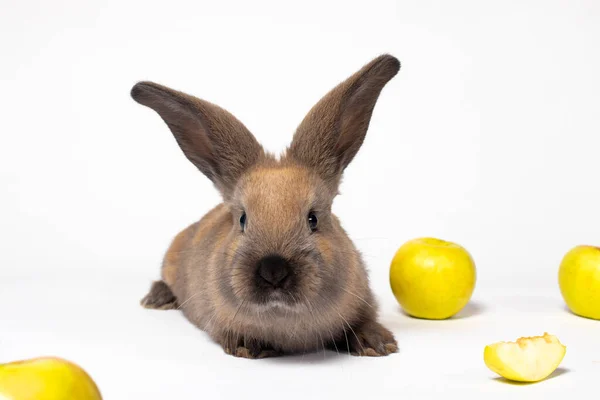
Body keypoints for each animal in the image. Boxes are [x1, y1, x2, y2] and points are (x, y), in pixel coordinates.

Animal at [134, 54, 400, 360]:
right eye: (242, 220)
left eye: (313, 219)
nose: (273, 270)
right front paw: (247, 345)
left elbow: (363, 320)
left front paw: (377, 343)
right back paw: (156, 299)